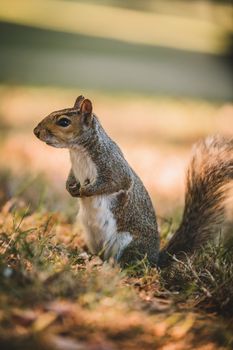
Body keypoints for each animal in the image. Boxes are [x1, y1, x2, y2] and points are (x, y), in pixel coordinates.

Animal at [33, 95, 233, 268]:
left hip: (128, 244)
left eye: (64, 122)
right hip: (93, 237)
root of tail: (155, 260)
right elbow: (71, 177)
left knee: (128, 264)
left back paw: (111, 267)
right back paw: (89, 257)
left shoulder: (113, 165)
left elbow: (117, 182)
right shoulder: (75, 169)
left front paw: (85, 191)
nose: (36, 131)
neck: (77, 151)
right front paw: (70, 188)